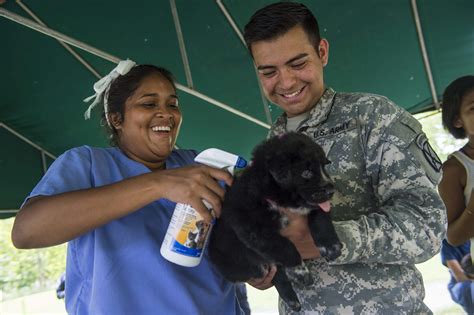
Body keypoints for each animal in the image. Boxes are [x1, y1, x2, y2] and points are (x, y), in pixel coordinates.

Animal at [210, 132, 340, 312]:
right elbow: (284, 246)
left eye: (324, 167)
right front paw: (300, 271)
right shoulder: (250, 225)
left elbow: (321, 216)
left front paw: (331, 246)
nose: (331, 189)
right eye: (306, 172)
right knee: (275, 272)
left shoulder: (314, 205)